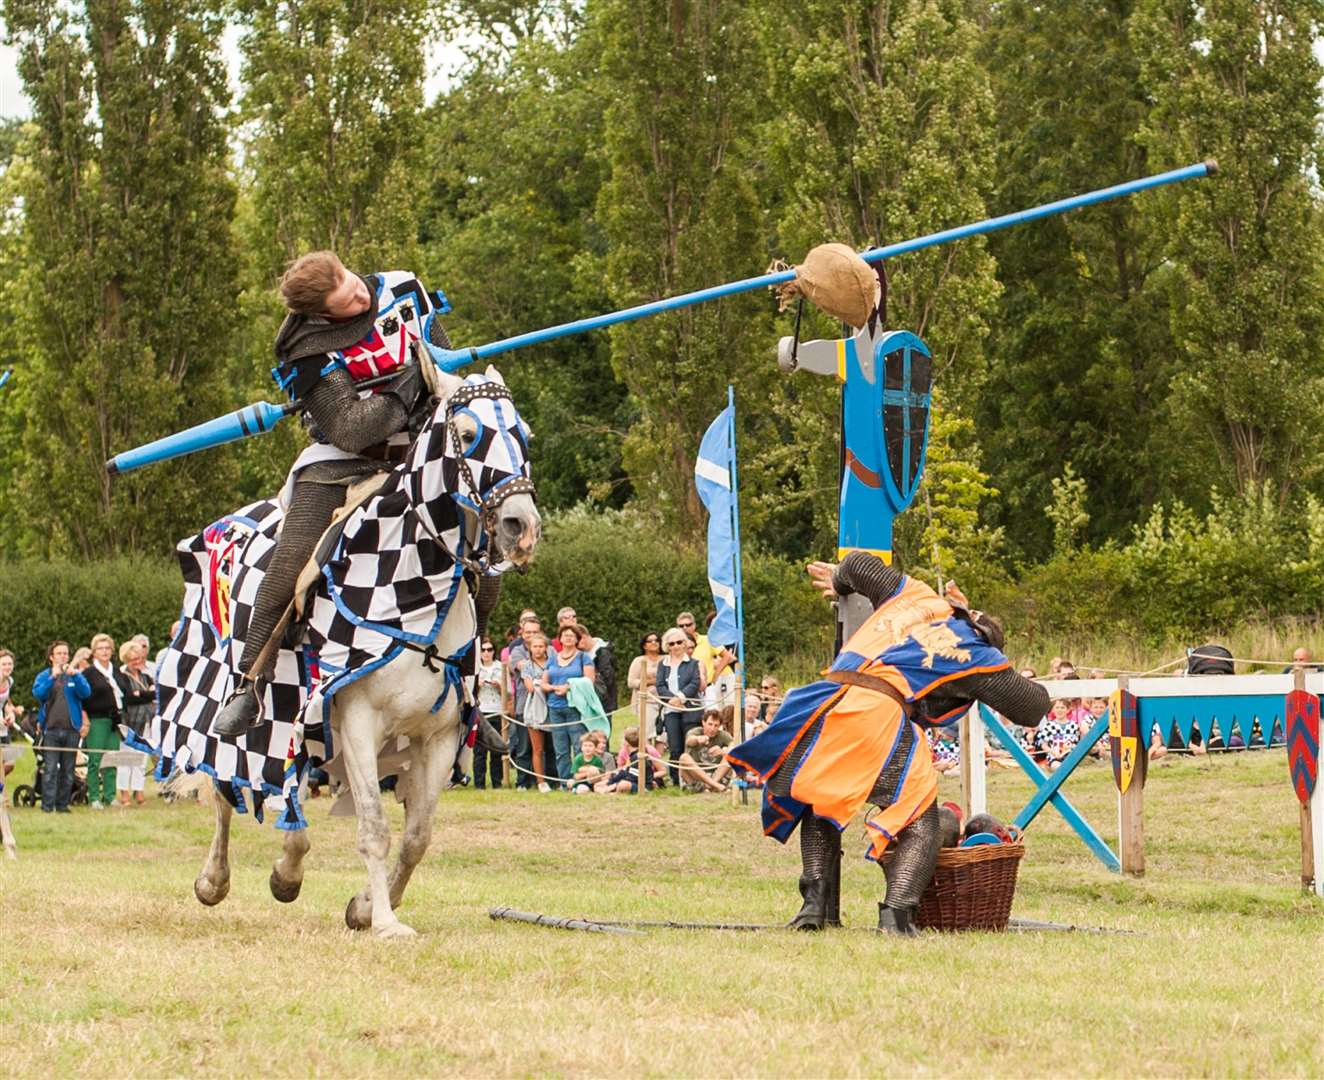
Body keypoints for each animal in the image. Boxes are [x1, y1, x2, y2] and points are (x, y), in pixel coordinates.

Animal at [181, 365, 537, 937]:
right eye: (466, 434)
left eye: (523, 433)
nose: (520, 527)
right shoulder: (355, 718)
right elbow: (373, 826)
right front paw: (388, 924)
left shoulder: (438, 736)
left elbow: (417, 836)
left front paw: (366, 907)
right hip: (243, 709)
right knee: (223, 786)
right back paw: (214, 879)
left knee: (293, 796)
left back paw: (287, 870)